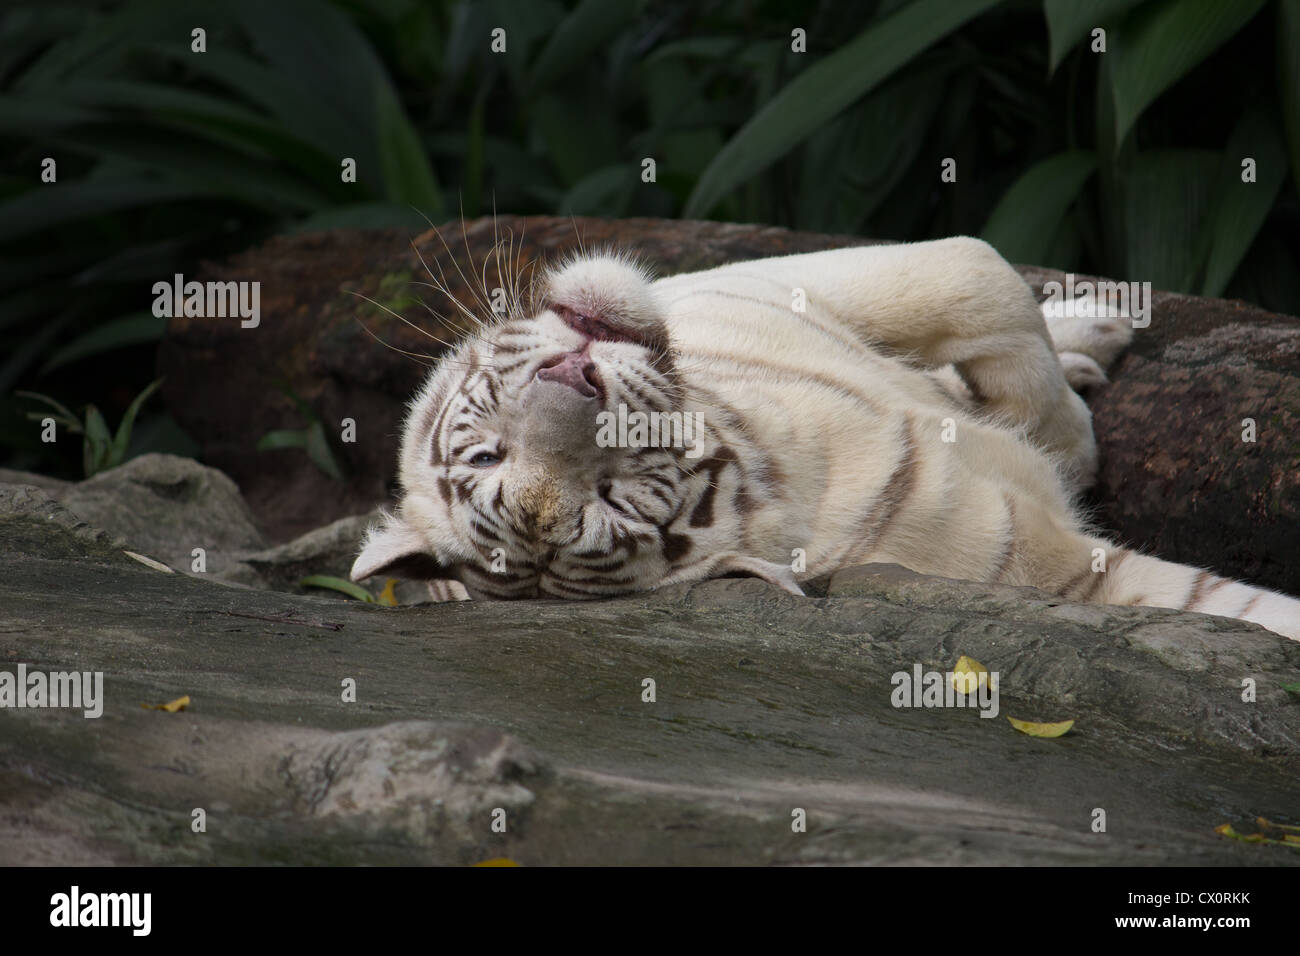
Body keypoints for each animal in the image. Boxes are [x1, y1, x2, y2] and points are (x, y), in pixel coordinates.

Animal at [351, 236, 1300, 642]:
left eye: (487, 455)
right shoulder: (1070, 573)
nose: (575, 377)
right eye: (608, 503)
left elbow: (977, 274)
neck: (766, 451)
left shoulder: (766, 283)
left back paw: (1091, 333)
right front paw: (1079, 447)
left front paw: (1064, 429)